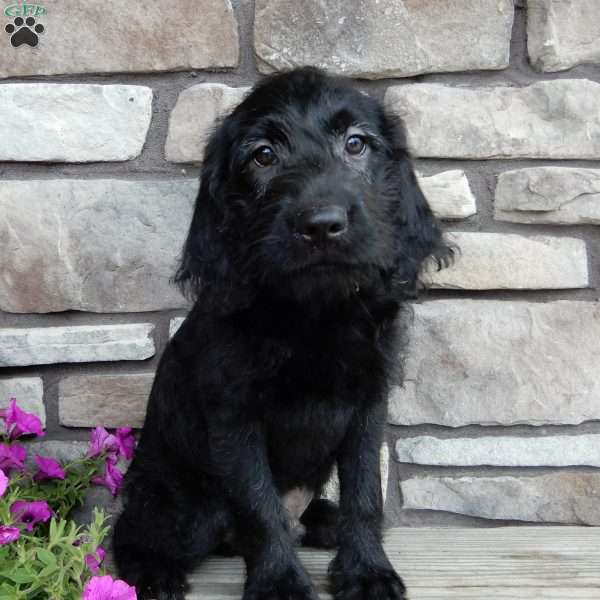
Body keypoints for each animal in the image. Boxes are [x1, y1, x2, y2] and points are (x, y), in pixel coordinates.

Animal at [113, 68, 450, 596]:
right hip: (187, 505)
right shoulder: (235, 415)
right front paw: (279, 583)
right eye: (263, 155)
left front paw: (367, 570)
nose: (322, 225)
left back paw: (325, 521)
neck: (314, 312)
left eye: (356, 144)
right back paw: (154, 570)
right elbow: (259, 505)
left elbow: (364, 492)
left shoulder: (368, 404)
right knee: (135, 528)